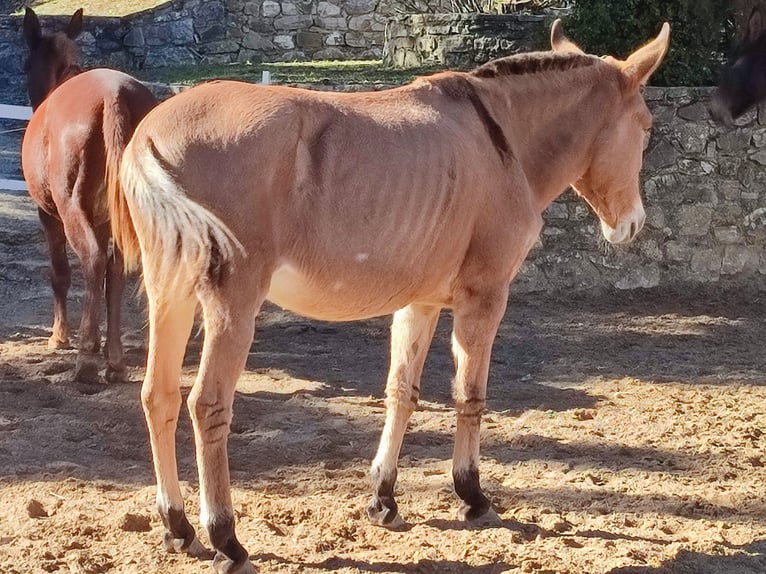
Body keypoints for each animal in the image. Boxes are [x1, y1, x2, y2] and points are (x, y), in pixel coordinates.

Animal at [20, 7, 158, 382]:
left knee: (94, 262)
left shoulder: (49, 216)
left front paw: (59, 337)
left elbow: (60, 272)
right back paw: (115, 360)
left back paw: (86, 360)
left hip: (70, 210)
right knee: (116, 269)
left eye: (25, 65)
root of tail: (115, 96)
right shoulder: (107, 220)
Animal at [109, 19, 672, 574]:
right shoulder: (484, 296)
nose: (633, 224)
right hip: (232, 305)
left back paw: (177, 526)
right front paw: (472, 496)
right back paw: (226, 538)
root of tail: (150, 135)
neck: (499, 139)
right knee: (207, 405)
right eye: (646, 126)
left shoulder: (419, 303)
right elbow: (470, 394)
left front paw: (383, 498)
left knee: (158, 396)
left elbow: (402, 391)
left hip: (170, 296)